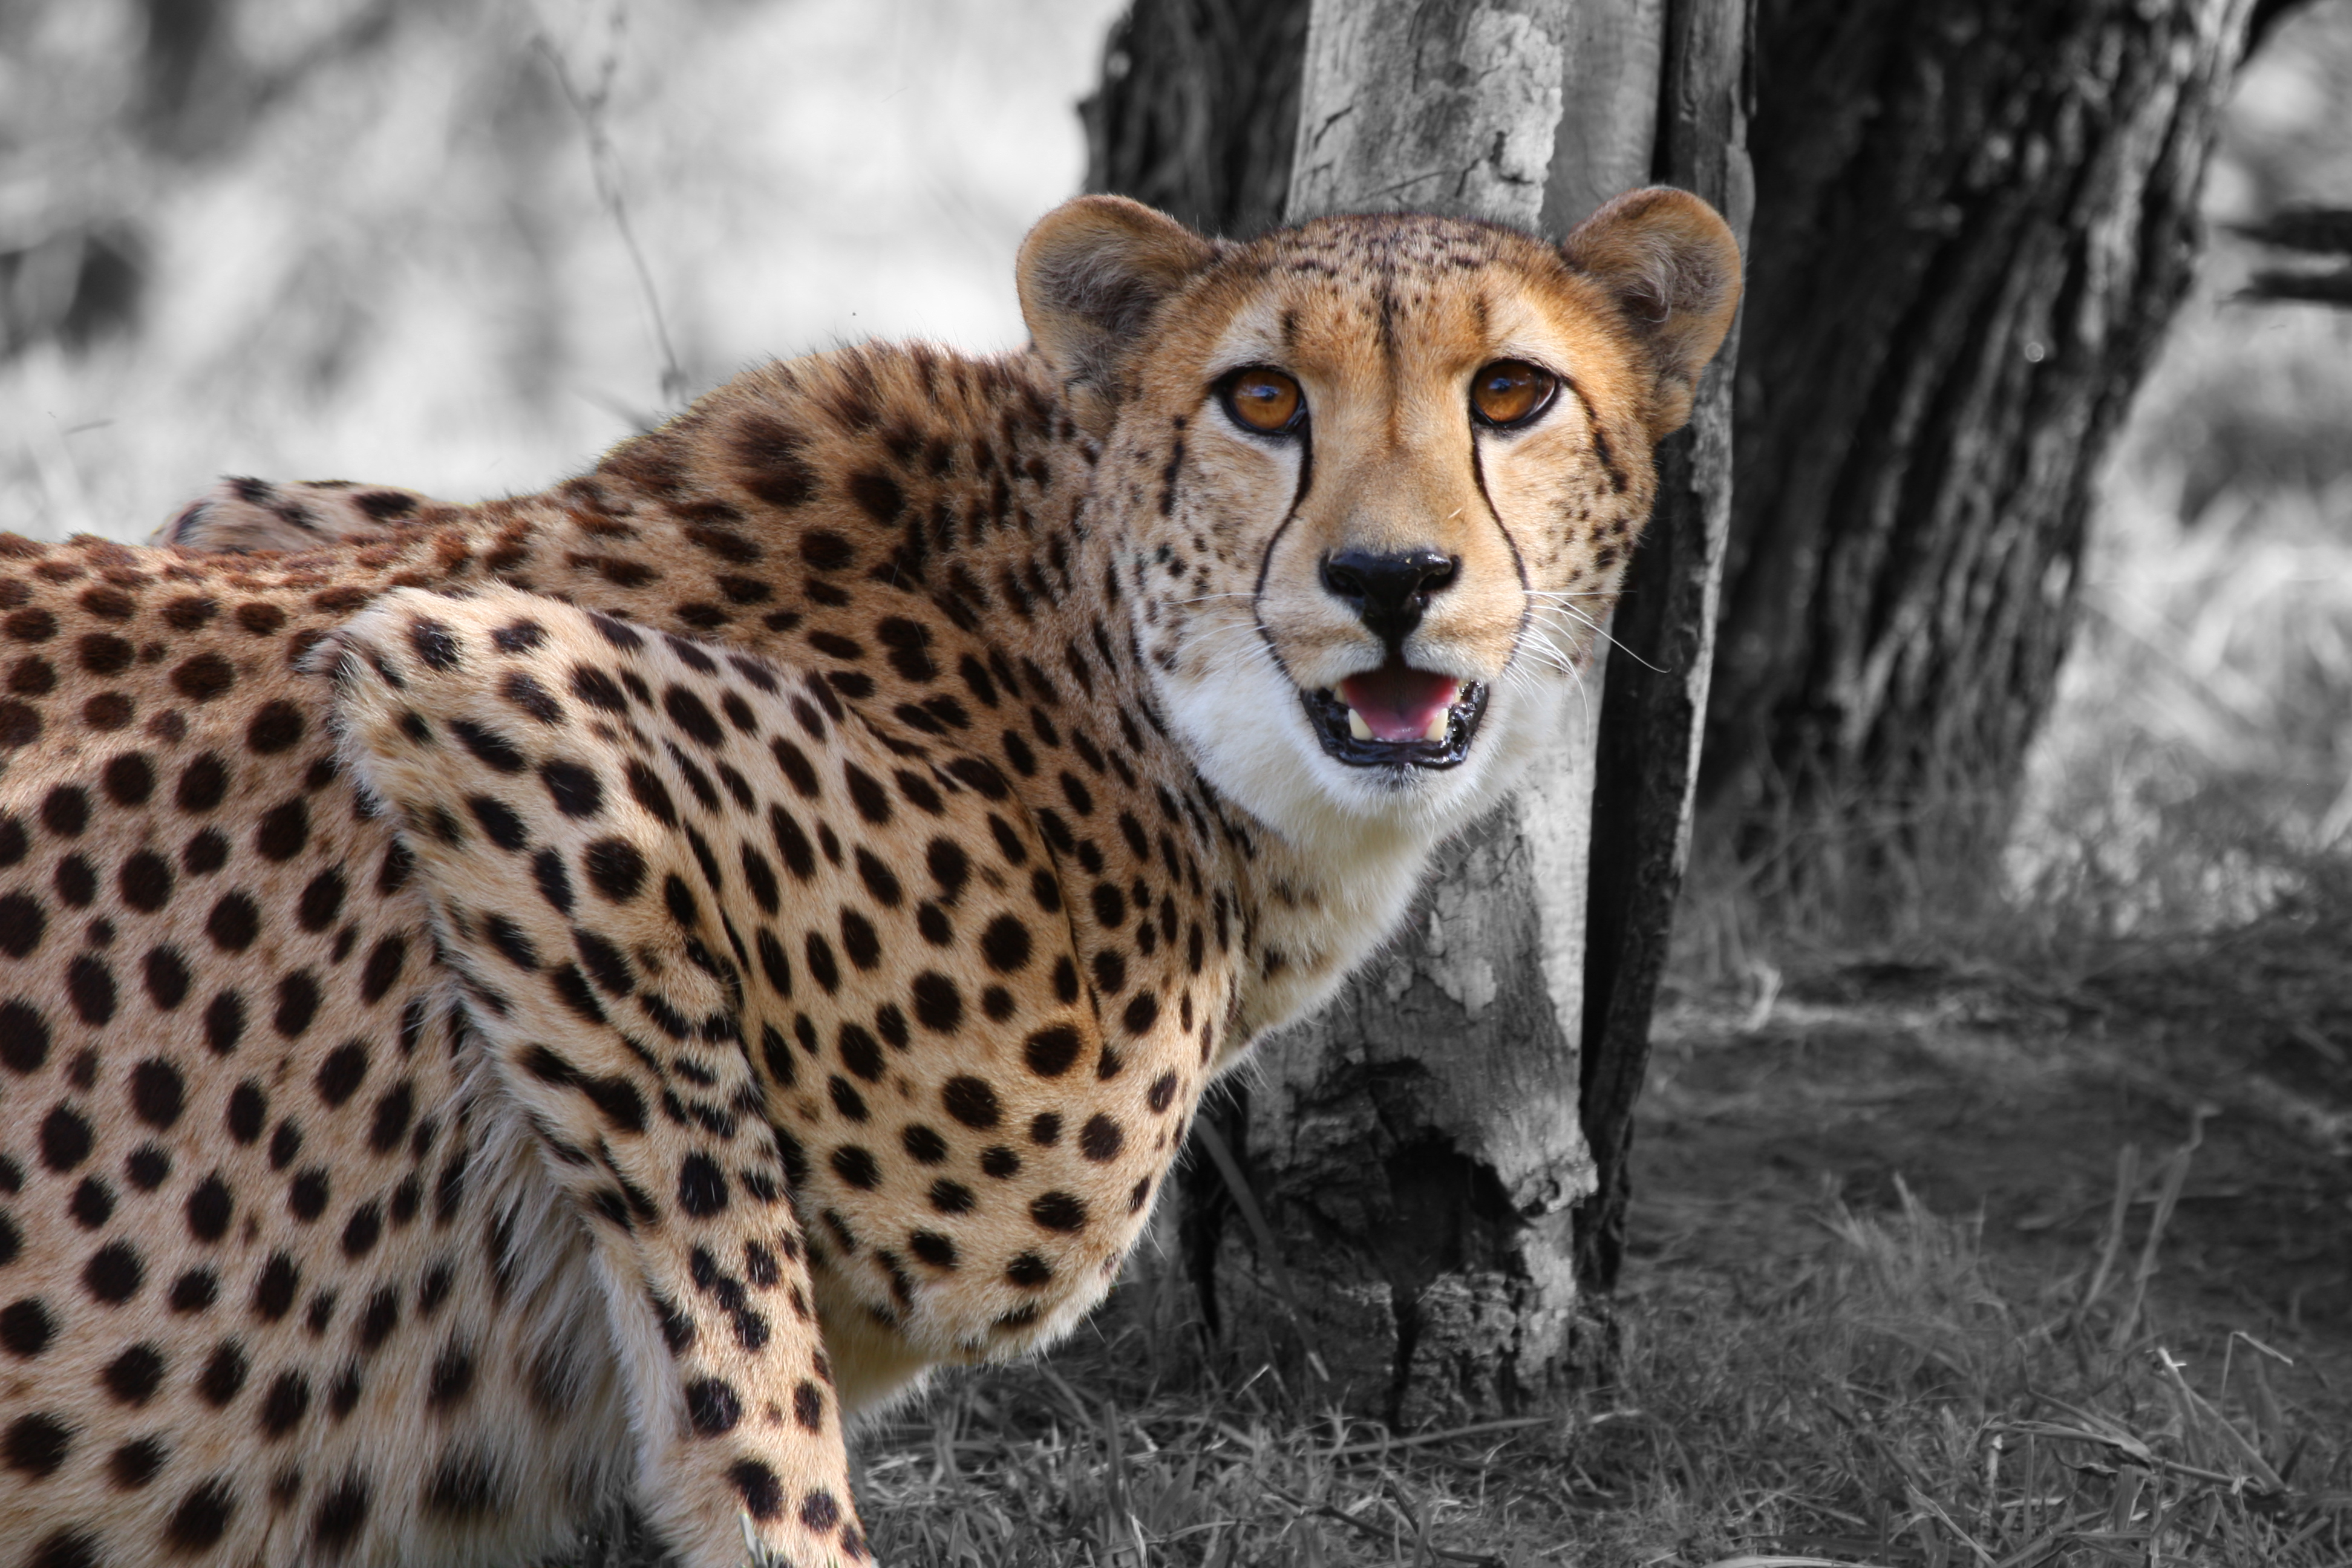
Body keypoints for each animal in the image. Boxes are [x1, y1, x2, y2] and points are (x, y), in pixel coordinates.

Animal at [0, 187, 1738, 1568]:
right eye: (1261, 398)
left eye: (1511, 392)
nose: (1390, 579)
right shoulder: (489, 688)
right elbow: (750, 1346)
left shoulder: (273, 525)